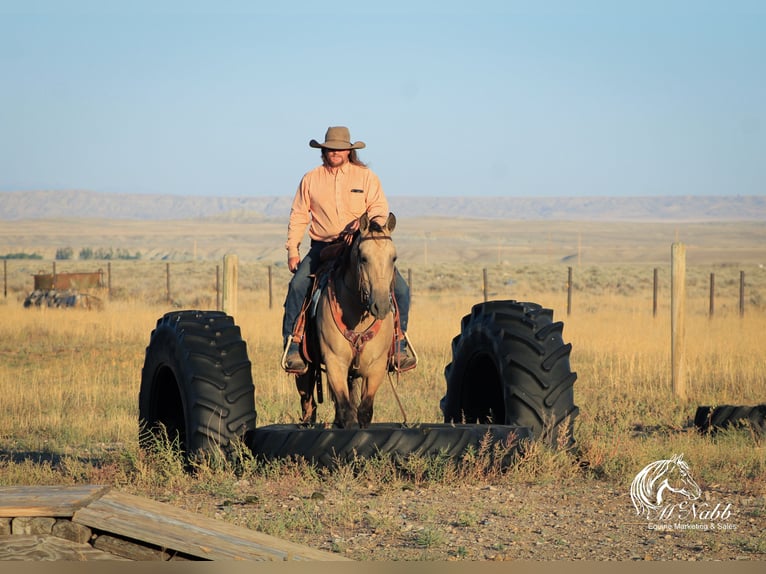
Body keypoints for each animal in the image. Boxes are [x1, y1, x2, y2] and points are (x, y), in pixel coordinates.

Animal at [292, 214, 402, 430]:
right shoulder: (335, 362)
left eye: (393, 258)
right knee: (307, 392)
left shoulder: (377, 366)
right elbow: (346, 410)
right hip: (307, 365)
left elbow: (364, 411)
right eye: (364, 258)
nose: (381, 306)